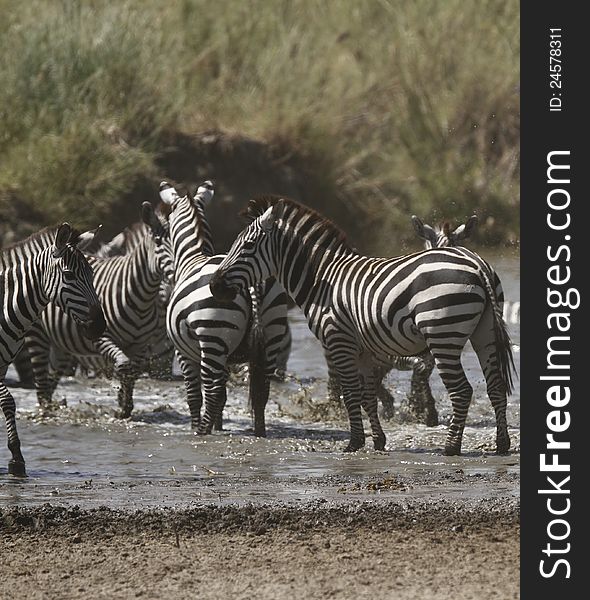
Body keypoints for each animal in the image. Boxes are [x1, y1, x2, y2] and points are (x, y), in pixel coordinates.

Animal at [1, 223, 106, 476]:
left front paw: (16, 459)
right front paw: (16, 458)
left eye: (92, 274)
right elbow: (8, 401)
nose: (99, 326)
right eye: (68, 275)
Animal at [25, 202, 173, 418]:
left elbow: (132, 372)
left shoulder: (140, 344)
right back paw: (45, 408)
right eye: (159, 243)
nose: (168, 296)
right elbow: (124, 366)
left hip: (61, 344)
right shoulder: (103, 338)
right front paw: (122, 406)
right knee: (41, 379)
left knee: (52, 377)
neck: (141, 299)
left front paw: (124, 404)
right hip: (37, 334)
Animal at [160, 178, 292, 436]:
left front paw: (202, 426)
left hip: (213, 336)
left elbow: (195, 396)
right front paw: (218, 426)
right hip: (272, 334)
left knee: (210, 392)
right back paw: (259, 432)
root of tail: (252, 281)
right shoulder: (227, 357)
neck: (192, 258)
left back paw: (201, 432)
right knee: (262, 391)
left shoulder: (183, 353)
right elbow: (223, 395)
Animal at [210, 197, 516, 454]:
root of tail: (475, 263)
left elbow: (351, 393)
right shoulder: (364, 350)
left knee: (462, 390)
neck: (321, 279)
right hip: (485, 332)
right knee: (496, 385)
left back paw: (451, 447)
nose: (214, 286)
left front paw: (354, 443)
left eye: (248, 246)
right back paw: (501, 444)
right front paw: (378, 441)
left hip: (443, 335)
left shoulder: (339, 340)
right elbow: (368, 396)